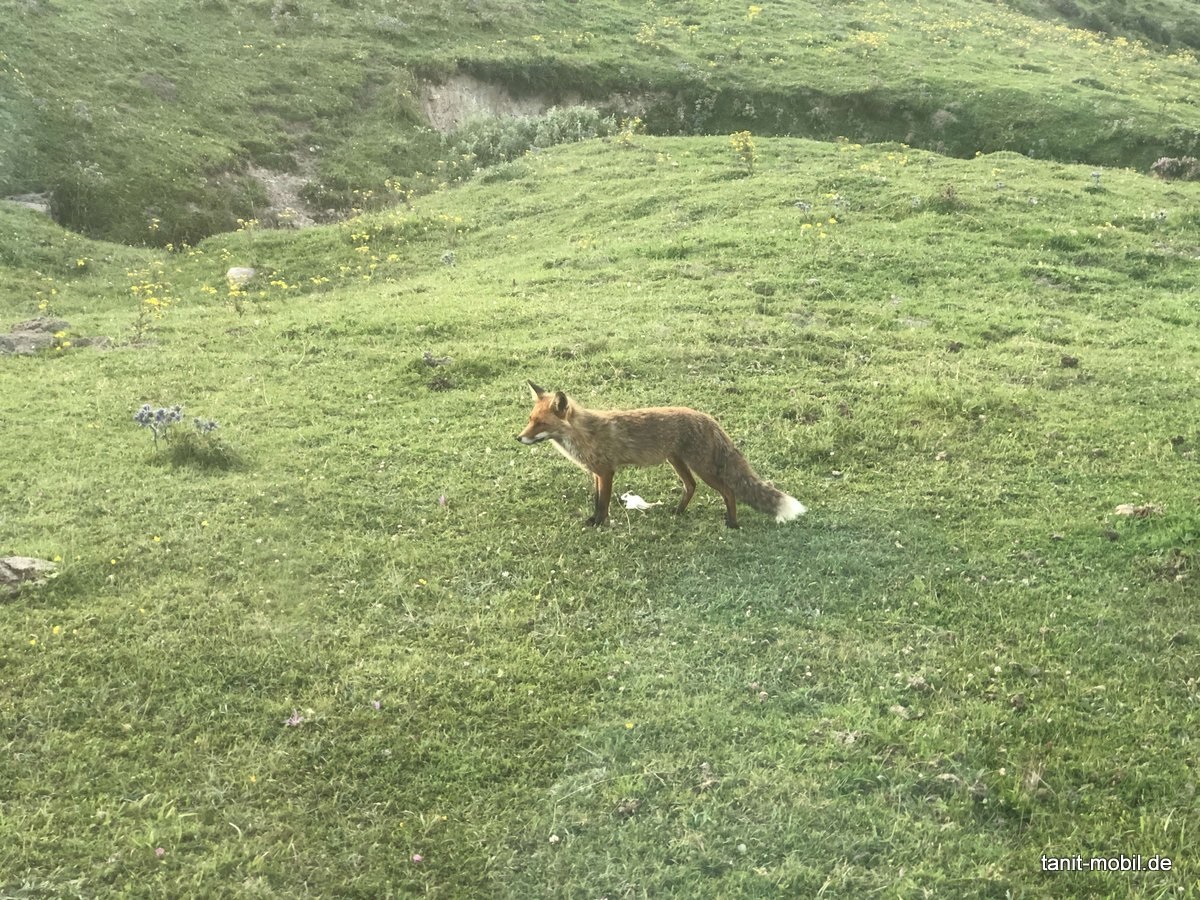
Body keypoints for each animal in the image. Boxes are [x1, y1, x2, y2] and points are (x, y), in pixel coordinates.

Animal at [516, 381, 807, 528]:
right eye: (530, 420)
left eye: (540, 424)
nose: (518, 438)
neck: (583, 434)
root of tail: (709, 418)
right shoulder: (597, 473)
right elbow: (596, 500)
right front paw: (592, 520)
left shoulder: (607, 472)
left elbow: (603, 503)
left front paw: (599, 523)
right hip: (677, 462)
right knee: (691, 486)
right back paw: (678, 512)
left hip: (702, 467)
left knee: (728, 490)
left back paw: (732, 523)